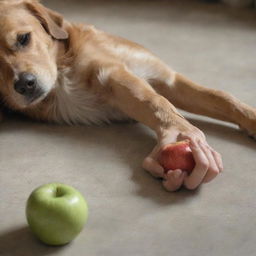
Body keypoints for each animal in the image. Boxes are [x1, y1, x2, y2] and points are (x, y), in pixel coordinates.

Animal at [0, 0, 255, 191]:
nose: (25, 85)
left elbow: (220, 98)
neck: (63, 63)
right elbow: (157, 102)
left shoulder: (158, 79)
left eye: (23, 38)